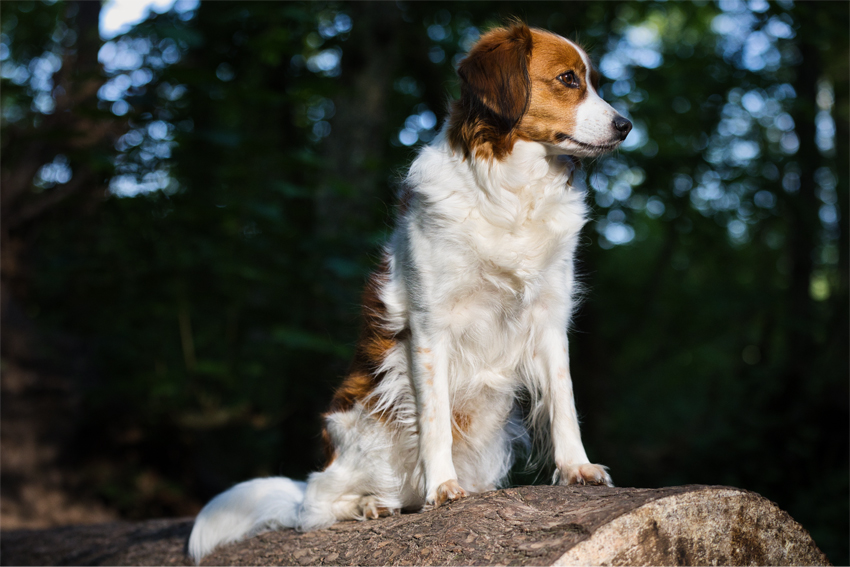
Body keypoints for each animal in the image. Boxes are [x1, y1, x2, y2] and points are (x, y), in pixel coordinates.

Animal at [189, 21, 628, 564]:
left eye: (591, 81)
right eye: (568, 79)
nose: (626, 125)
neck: (510, 191)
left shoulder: (550, 318)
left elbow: (564, 403)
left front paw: (576, 468)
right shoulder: (430, 325)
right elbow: (434, 418)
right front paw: (442, 487)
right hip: (361, 431)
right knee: (314, 506)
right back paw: (369, 505)